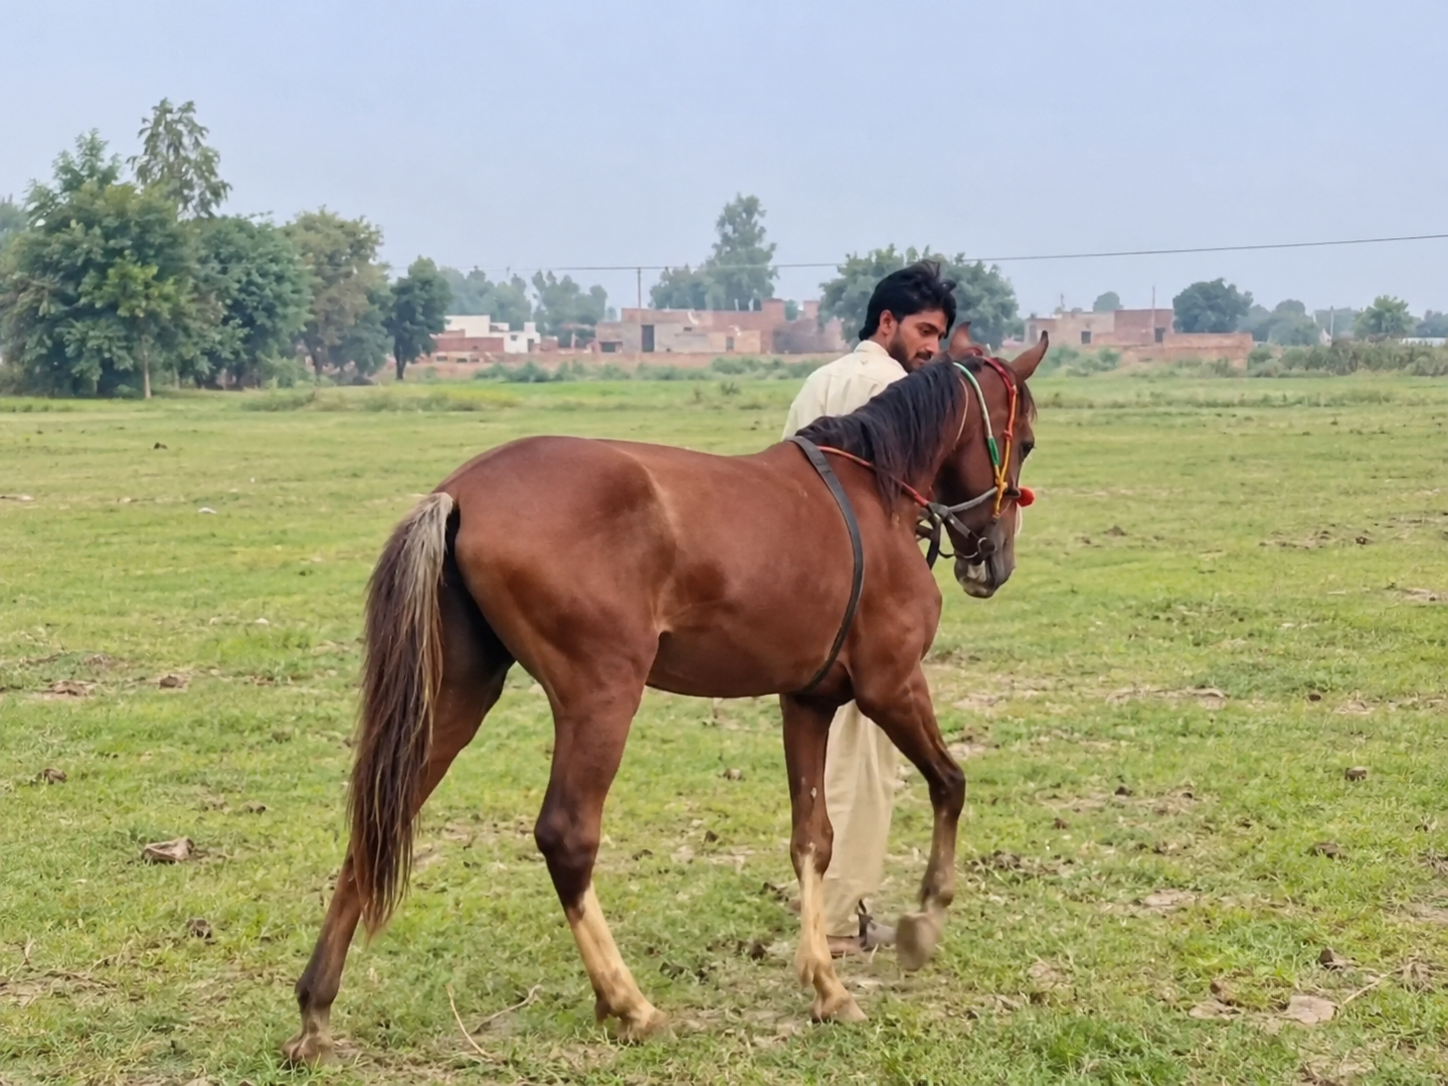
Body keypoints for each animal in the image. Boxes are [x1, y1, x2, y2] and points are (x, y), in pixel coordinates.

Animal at [281, 334, 1048, 1063]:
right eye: (1028, 440)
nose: (993, 560)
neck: (870, 492)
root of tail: (461, 492)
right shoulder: (892, 685)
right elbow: (950, 783)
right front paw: (923, 924)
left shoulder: (807, 701)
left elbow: (813, 839)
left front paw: (826, 985)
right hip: (602, 698)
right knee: (566, 838)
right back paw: (629, 1003)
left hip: (456, 698)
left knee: (379, 820)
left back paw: (316, 1010)